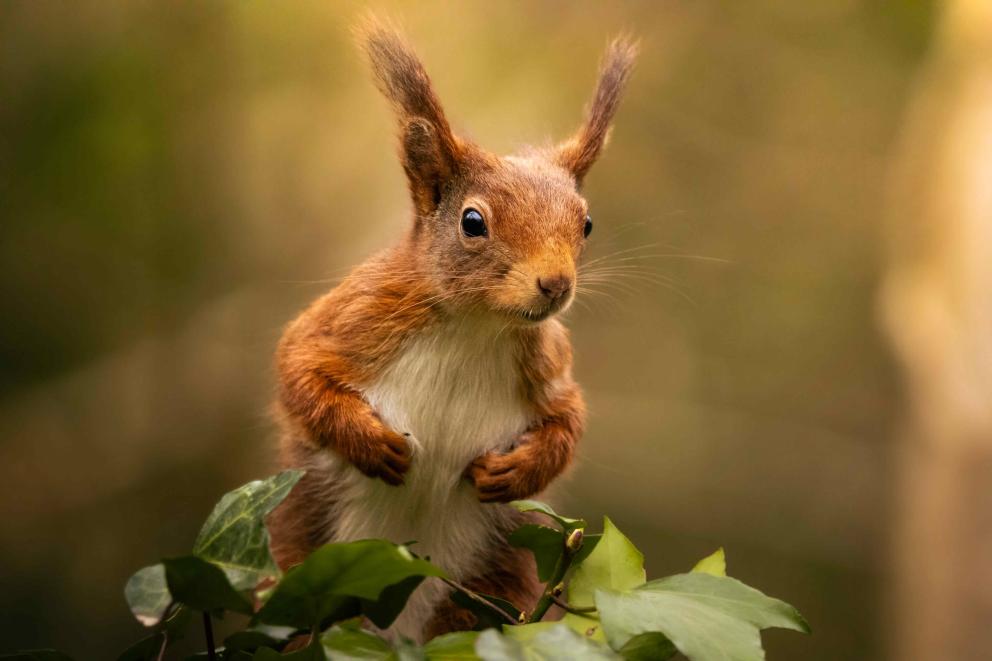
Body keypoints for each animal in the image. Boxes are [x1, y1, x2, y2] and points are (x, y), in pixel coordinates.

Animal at [264, 18, 636, 640]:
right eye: (472, 222)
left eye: (586, 224)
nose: (556, 284)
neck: (477, 324)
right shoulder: (357, 316)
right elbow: (298, 371)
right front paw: (370, 443)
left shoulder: (547, 364)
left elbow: (568, 421)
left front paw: (514, 472)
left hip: (490, 592)